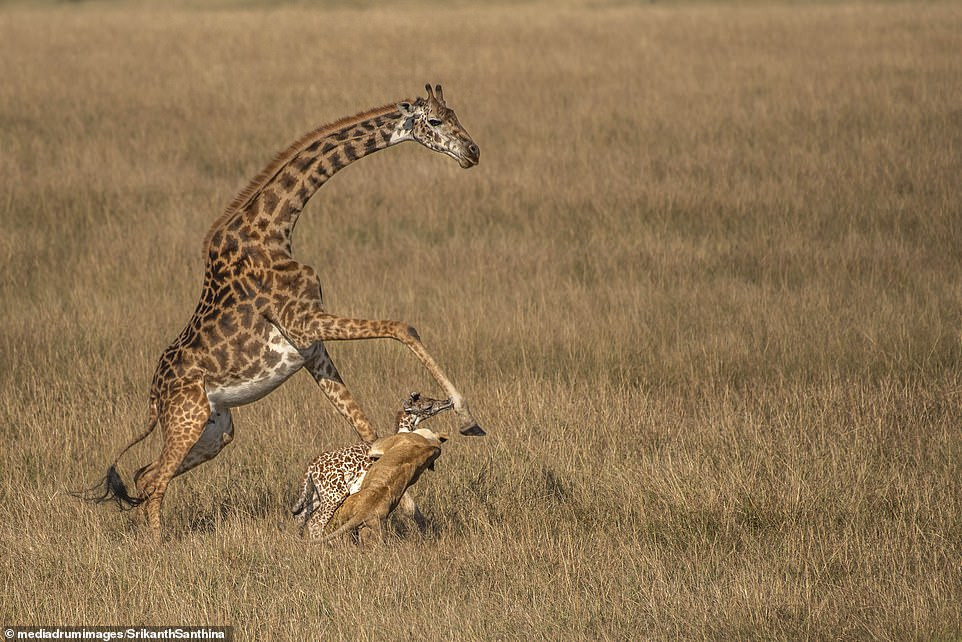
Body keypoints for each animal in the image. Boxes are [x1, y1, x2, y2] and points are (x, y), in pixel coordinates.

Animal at [82, 84, 483, 540]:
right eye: (433, 121)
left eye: (455, 113)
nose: (473, 151)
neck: (275, 229)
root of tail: (153, 395)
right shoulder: (305, 322)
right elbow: (402, 326)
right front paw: (467, 418)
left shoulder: (311, 348)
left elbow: (365, 427)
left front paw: (412, 508)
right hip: (189, 417)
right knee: (156, 479)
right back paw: (157, 544)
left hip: (216, 430)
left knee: (147, 474)